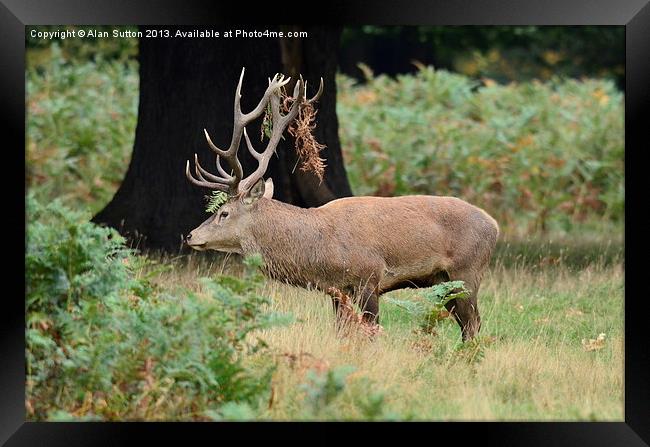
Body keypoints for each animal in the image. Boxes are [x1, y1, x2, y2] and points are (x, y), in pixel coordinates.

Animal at [185, 66, 498, 342]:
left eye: (224, 213)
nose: (190, 235)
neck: (322, 252)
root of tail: (494, 225)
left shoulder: (370, 277)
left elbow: (371, 333)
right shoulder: (338, 289)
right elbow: (341, 334)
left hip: (467, 271)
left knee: (473, 324)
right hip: (444, 281)